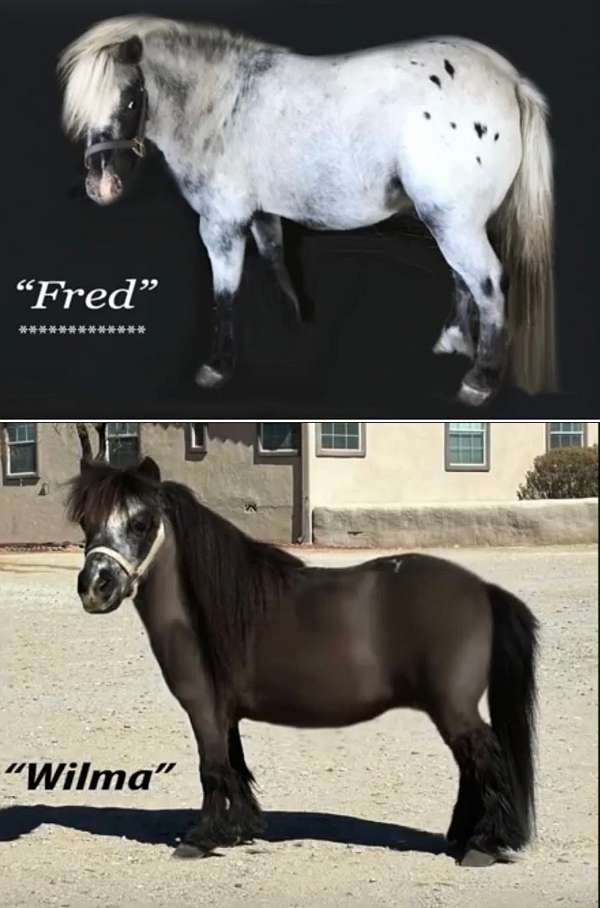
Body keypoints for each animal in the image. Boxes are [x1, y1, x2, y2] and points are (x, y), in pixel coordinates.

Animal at [58, 16, 557, 405]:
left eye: (130, 99)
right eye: (83, 110)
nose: (101, 187)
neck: (221, 105)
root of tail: (510, 81)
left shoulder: (221, 223)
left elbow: (225, 293)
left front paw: (218, 366)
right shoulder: (261, 212)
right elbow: (274, 256)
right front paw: (292, 318)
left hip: (453, 221)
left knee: (487, 282)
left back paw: (481, 380)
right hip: (453, 222)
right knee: (463, 277)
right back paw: (452, 340)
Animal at [68, 456, 539, 866]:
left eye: (141, 522)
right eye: (86, 522)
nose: (95, 587)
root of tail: (482, 589)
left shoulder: (203, 707)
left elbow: (213, 767)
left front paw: (200, 838)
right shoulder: (226, 710)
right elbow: (235, 766)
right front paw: (240, 828)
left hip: (453, 707)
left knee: (486, 759)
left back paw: (484, 844)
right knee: (470, 765)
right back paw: (462, 836)